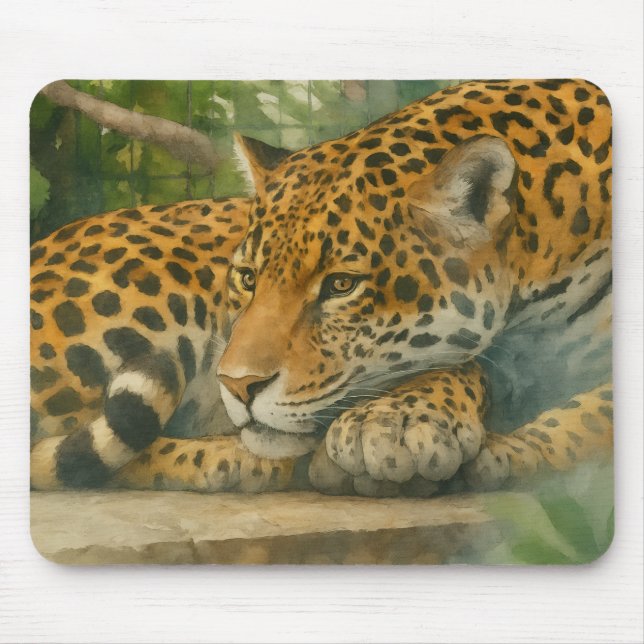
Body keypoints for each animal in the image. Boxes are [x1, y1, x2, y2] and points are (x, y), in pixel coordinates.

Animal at [30, 78, 613, 497]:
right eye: (247, 278)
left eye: (340, 285)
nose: (237, 386)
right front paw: (395, 426)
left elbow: (597, 409)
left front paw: (493, 446)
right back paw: (233, 459)